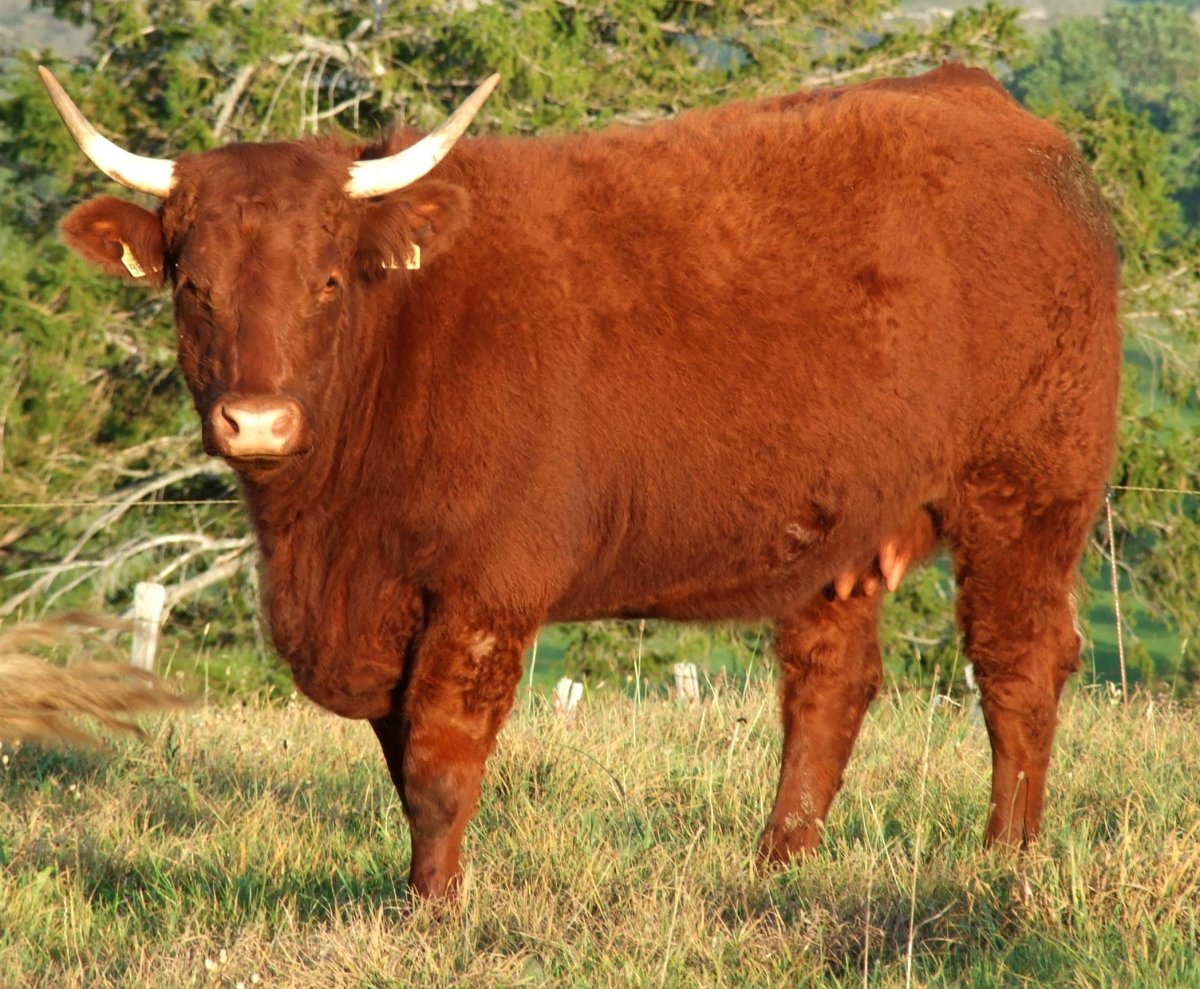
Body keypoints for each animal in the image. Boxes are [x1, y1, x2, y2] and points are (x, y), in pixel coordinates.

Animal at [41, 62, 1121, 899]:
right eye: (193, 286)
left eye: (329, 282)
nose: (257, 420)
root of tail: (988, 105)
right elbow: (398, 754)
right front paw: (418, 887)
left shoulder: (486, 589)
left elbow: (438, 757)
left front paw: (432, 909)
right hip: (842, 521)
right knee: (830, 681)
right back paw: (776, 866)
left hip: (1025, 491)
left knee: (1019, 664)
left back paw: (1005, 861)